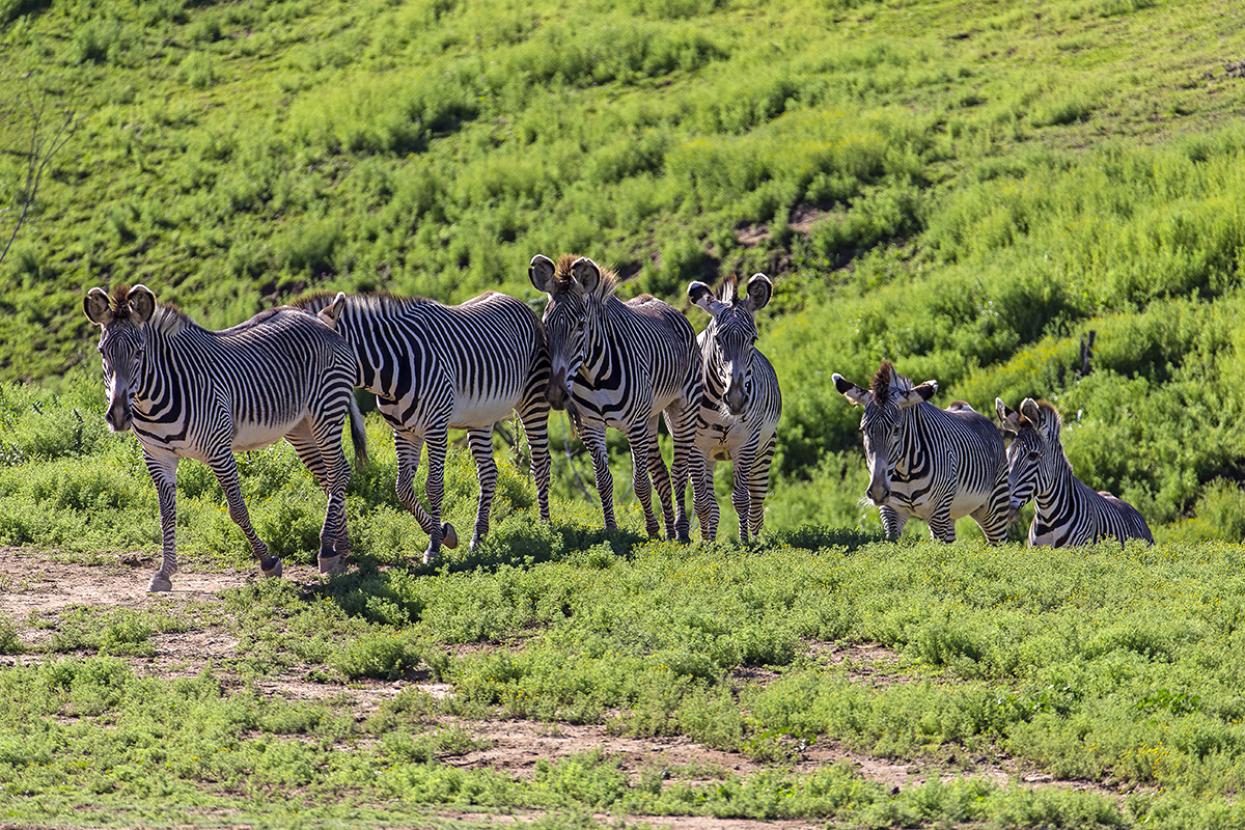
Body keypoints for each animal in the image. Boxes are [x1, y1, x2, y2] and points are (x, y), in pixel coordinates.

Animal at [83, 284, 365, 591]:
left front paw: (268, 562)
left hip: (327, 411)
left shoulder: (219, 450)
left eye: (139, 352)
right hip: (301, 429)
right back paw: (341, 548)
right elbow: (166, 514)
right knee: (330, 477)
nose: (119, 415)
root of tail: (321, 320)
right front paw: (164, 572)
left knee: (338, 472)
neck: (152, 401)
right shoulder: (157, 456)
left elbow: (237, 509)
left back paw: (327, 548)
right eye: (102, 352)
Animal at [293, 290, 551, 561]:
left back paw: (546, 528)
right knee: (488, 472)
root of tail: (515, 299)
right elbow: (403, 488)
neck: (392, 364)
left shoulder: (436, 427)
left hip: (533, 398)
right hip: (481, 416)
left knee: (541, 462)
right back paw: (478, 537)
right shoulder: (403, 431)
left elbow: (434, 486)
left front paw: (434, 546)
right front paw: (444, 533)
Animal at [529, 254, 710, 541]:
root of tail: (662, 304)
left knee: (679, 469)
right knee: (661, 472)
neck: (593, 375)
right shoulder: (590, 426)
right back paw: (671, 532)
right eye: (546, 325)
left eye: (581, 325)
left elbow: (640, 482)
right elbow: (603, 480)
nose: (556, 394)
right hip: (651, 416)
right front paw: (612, 529)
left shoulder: (634, 426)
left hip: (682, 408)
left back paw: (681, 531)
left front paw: (652, 531)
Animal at [687, 274, 782, 541]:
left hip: (765, 447)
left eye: (753, 339)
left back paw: (757, 536)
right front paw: (706, 543)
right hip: (708, 455)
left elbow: (741, 499)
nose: (737, 400)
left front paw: (745, 542)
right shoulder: (696, 447)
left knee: (757, 498)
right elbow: (703, 503)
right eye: (718, 340)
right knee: (711, 502)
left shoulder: (746, 444)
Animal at [832, 362, 1009, 543]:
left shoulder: (938, 511)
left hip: (994, 506)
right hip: (952, 513)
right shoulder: (891, 510)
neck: (904, 471)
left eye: (897, 430)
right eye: (863, 430)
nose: (877, 492)